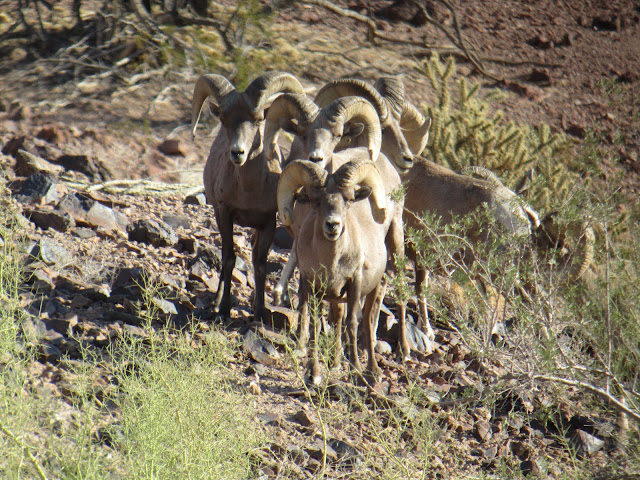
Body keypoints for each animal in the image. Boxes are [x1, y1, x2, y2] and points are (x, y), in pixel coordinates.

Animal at [191, 71, 305, 322]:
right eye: (224, 120)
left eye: (258, 119)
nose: (237, 153)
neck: (249, 191)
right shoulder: (224, 214)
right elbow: (229, 259)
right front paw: (224, 308)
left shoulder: (268, 222)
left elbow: (260, 265)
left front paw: (259, 312)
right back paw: (215, 303)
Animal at [264, 94, 410, 357]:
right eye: (302, 133)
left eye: (337, 134)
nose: (316, 158)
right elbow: (310, 301)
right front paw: (304, 342)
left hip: (396, 234)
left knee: (399, 285)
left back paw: (403, 349)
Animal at [277, 158, 390, 383]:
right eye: (315, 201)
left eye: (348, 199)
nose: (332, 225)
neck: (332, 264)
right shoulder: (312, 287)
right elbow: (315, 325)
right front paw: (313, 374)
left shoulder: (354, 284)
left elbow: (352, 324)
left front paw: (355, 370)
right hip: (336, 298)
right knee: (337, 321)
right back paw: (336, 362)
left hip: (372, 290)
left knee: (367, 322)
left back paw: (372, 370)